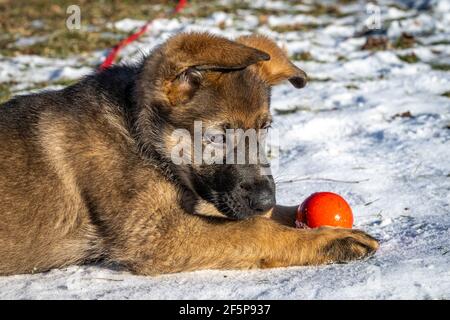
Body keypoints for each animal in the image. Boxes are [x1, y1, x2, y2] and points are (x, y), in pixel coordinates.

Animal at [0, 33, 378, 276]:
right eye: (217, 137)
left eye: (265, 129)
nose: (264, 200)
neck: (137, 133)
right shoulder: (157, 234)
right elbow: (254, 230)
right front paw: (334, 240)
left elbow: (267, 217)